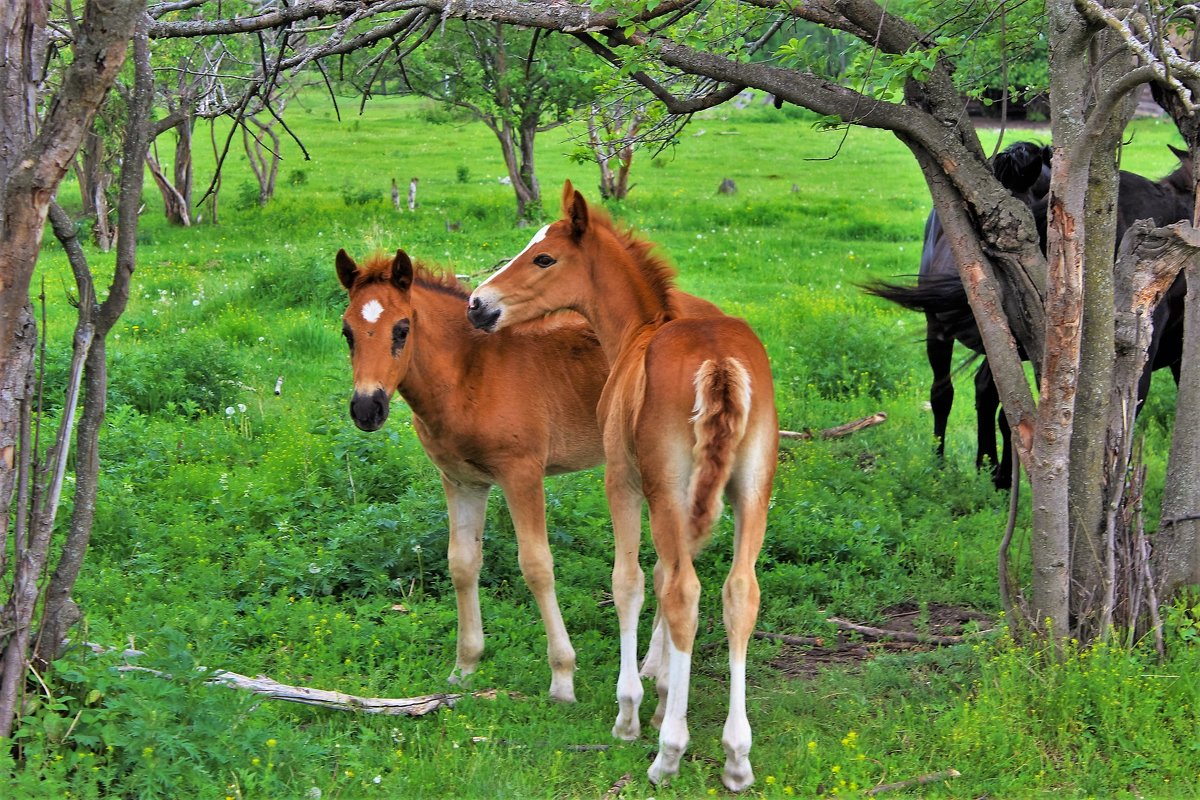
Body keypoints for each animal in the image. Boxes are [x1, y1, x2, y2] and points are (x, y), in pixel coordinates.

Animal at [463, 181, 782, 786]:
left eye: (544, 257)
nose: (477, 304)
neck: (638, 331)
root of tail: (719, 362)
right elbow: (659, 576)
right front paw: (661, 689)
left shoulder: (623, 483)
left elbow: (629, 581)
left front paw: (633, 709)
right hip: (752, 491)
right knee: (738, 594)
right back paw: (737, 756)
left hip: (670, 489)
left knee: (685, 592)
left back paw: (668, 751)